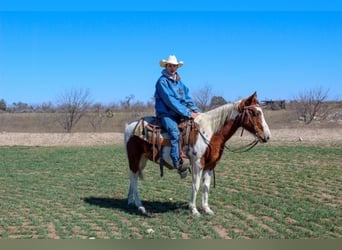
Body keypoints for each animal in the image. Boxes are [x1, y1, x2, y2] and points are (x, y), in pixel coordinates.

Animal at [124, 92, 272, 217]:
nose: (267, 136)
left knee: (133, 177)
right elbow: (196, 184)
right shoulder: (197, 163)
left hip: (142, 159)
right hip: (134, 157)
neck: (211, 131)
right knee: (134, 178)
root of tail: (128, 126)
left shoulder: (211, 165)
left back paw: (131, 201)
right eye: (254, 112)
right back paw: (140, 205)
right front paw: (194, 210)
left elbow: (206, 186)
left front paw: (207, 209)